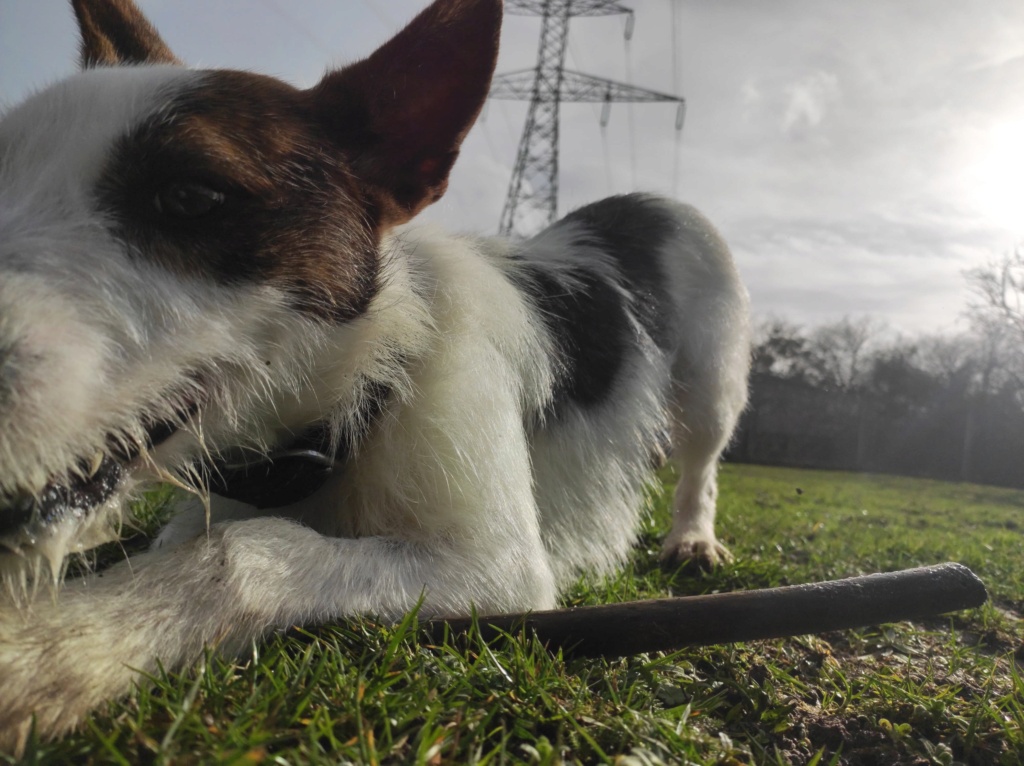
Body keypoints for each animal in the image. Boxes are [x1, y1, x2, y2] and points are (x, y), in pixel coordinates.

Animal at [0, 0, 753, 749]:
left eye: (189, 196)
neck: (361, 392)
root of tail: (645, 200)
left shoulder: (496, 570)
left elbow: (246, 549)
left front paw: (57, 647)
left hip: (713, 383)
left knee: (702, 464)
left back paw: (693, 538)